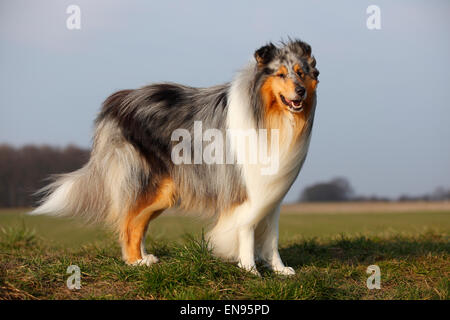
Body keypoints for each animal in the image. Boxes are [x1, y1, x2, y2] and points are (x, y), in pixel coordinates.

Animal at [32, 39, 320, 276]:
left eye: (301, 73)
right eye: (280, 74)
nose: (300, 92)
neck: (268, 115)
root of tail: (118, 101)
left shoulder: (271, 193)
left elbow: (271, 237)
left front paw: (280, 270)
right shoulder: (244, 190)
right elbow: (246, 230)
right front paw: (250, 270)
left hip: (164, 190)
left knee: (138, 222)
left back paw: (144, 258)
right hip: (148, 182)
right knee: (128, 222)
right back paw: (135, 263)